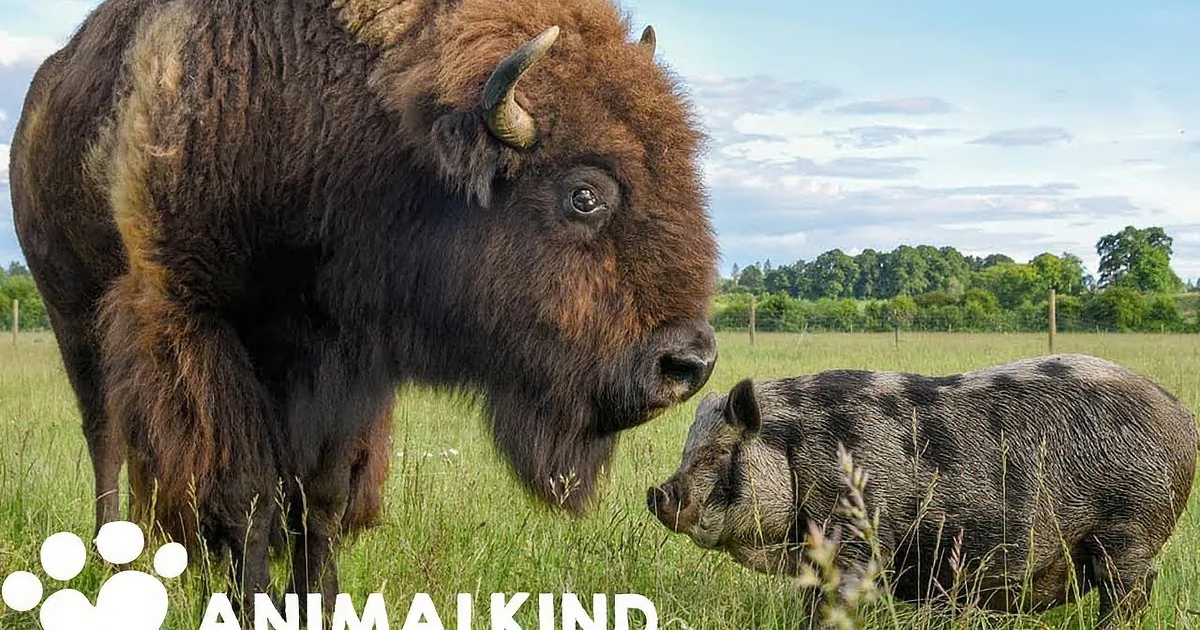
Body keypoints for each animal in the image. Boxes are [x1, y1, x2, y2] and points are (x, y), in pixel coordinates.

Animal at [11, 0, 718, 607]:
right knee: (107, 440)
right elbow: (244, 495)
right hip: (75, 317)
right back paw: (110, 563)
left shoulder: (345, 361)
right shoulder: (194, 323)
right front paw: (254, 603)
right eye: (583, 194)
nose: (689, 365)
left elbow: (320, 495)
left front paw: (317, 603)